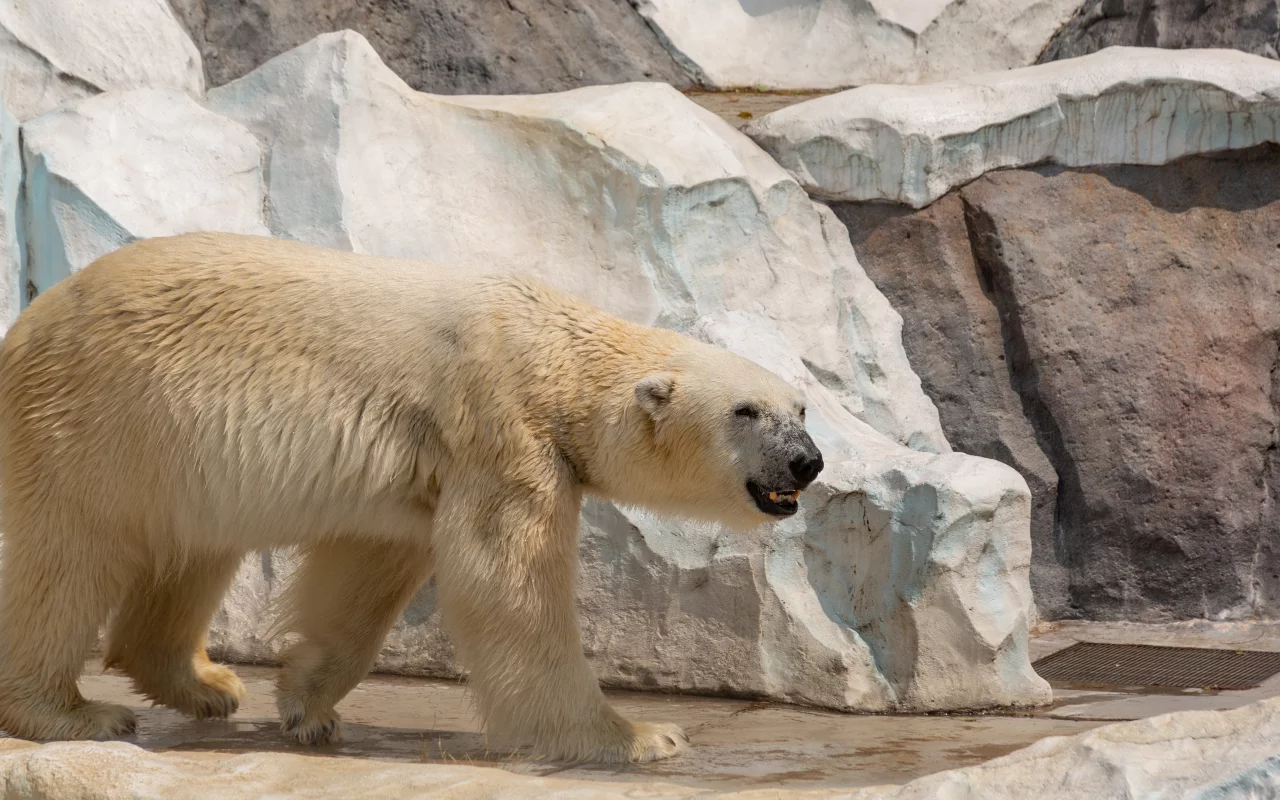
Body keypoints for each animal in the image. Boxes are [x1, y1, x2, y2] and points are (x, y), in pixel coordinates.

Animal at [0, 230, 824, 762]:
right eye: (745, 411)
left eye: (802, 407)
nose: (808, 463)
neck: (556, 353)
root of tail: (24, 329)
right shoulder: (502, 429)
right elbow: (508, 585)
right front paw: (641, 737)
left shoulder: (422, 466)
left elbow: (369, 570)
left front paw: (306, 703)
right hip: (101, 417)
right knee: (69, 558)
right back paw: (75, 713)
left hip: (178, 452)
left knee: (193, 550)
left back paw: (207, 684)